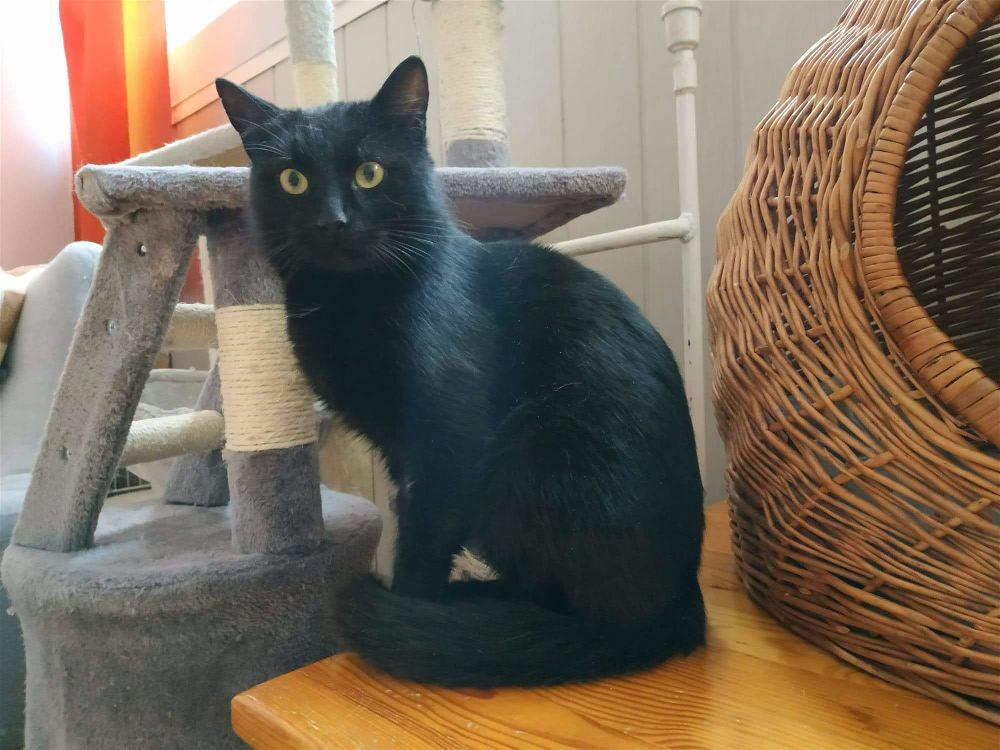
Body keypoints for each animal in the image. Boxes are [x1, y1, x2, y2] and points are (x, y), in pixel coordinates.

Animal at [217, 56, 706, 688]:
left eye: (370, 172)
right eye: (292, 180)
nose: (333, 221)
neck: (348, 301)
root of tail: (680, 605)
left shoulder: (450, 443)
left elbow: (424, 539)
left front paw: (405, 612)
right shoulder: (403, 458)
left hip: (533, 455)